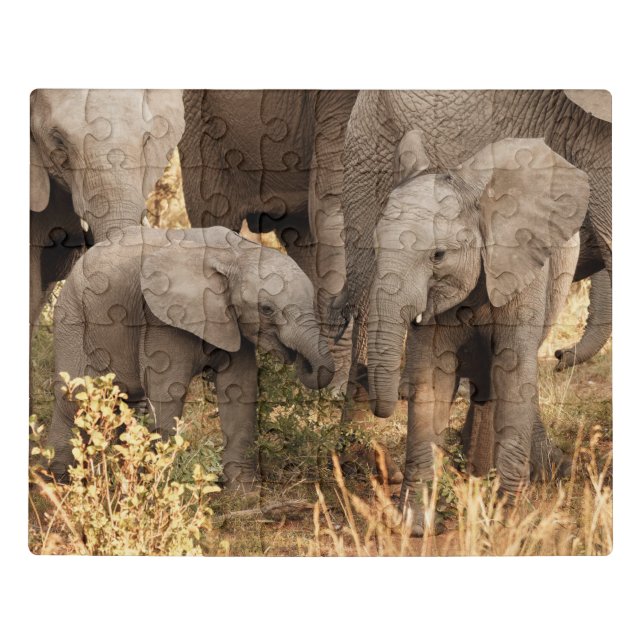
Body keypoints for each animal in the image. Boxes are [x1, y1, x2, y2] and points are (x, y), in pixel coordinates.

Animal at [47, 225, 335, 489]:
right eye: (266, 309)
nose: (299, 359)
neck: (236, 254)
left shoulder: (232, 320)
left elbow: (238, 389)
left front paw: (244, 492)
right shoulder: (160, 318)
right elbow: (168, 390)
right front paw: (161, 486)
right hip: (72, 316)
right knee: (75, 398)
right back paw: (63, 482)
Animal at [345, 131, 590, 534]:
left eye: (438, 255)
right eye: (377, 248)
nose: (364, 379)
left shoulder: (521, 271)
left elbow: (513, 373)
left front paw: (507, 522)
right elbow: (430, 381)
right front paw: (415, 525)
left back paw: (480, 477)